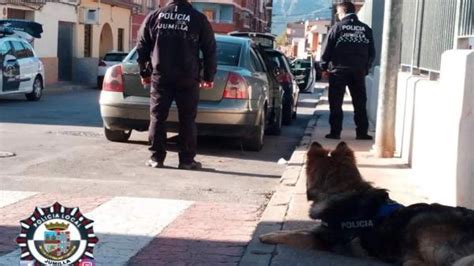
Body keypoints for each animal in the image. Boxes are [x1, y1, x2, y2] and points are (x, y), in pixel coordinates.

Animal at [260, 142, 474, 264]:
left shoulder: (323, 239)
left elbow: (295, 235)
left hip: (422, 227)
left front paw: (269, 236)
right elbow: (297, 230)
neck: (341, 190)